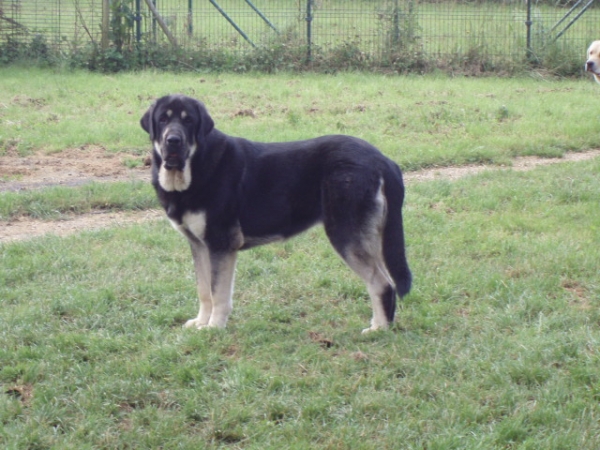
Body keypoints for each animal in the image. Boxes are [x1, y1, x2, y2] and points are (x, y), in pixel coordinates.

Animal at [142, 94, 410, 334]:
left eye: (188, 121)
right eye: (163, 120)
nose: (173, 140)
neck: (195, 165)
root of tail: (381, 159)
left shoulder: (221, 244)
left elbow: (218, 292)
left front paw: (214, 328)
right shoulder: (199, 245)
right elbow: (203, 289)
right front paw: (201, 323)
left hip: (346, 235)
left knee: (382, 283)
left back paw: (379, 330)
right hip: (368, 237)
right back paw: (382, 324)